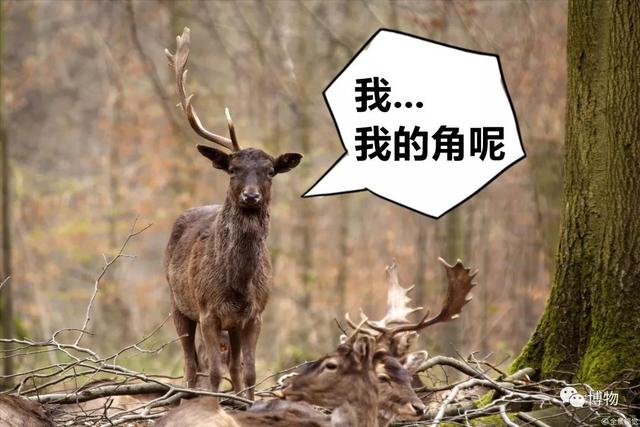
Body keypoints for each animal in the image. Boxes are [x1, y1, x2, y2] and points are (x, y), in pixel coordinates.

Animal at [164, 27, 302, 400]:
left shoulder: (254, 316)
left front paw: (250, 404)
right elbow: (212, 371)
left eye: (270, 171)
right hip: (177, 304)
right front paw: (214, 405)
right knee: (191, 366)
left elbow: (250, 371)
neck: (237, 286)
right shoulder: (208, 312)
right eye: (233, 169)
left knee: (235, 368)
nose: (250, 195)